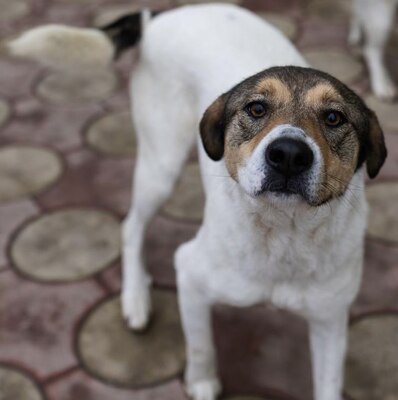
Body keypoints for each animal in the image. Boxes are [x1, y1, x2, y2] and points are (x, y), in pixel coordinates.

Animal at [6, 4, 388, 400]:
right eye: (256, 109)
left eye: (334, 117)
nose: (288, 155)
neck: (283, 233)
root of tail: (161, 13)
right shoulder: (190, 275)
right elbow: (201, 345)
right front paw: (203, 382)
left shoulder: (330, 321)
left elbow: (329, 383)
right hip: (161, 165)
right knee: (131, 226)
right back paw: (135, 298)